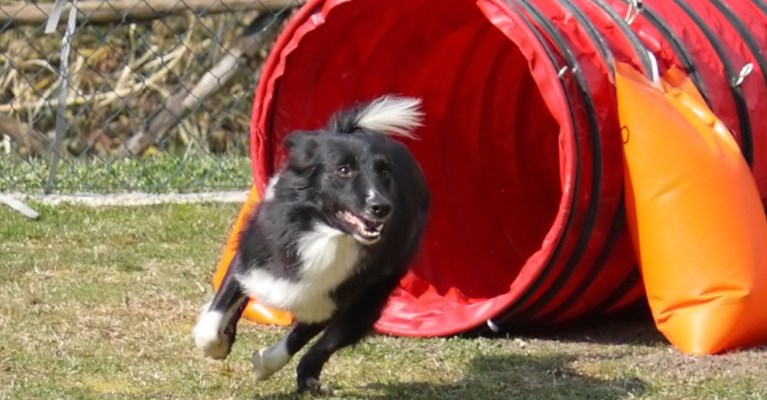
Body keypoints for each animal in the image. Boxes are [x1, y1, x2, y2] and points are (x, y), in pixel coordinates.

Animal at [191, 94, 428, 394]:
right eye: (343, 170)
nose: (382, 207)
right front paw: (219, 344)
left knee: (326, 345)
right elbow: (213, 321)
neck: (322, 233)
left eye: (385, 173)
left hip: (370, 300)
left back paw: (309, 379)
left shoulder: (328, 299)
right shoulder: (248, 259)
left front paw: (262, 364)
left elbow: (295, 341)